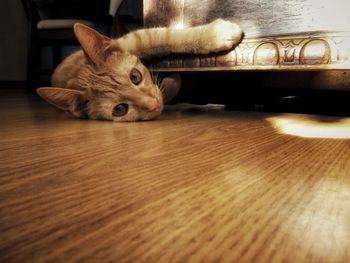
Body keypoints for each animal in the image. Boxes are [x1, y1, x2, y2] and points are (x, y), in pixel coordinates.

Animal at [37, 19, 241, 122]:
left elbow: (164, 37)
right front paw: (172, 84)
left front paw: (216, 33)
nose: (153, 104)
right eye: (119, 109)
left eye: (135, 76)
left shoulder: (133, 40)